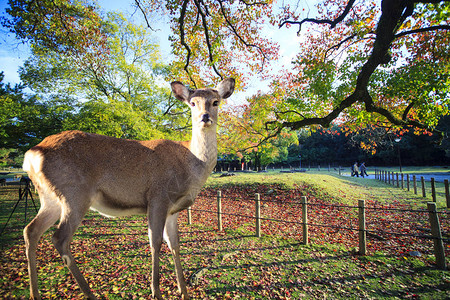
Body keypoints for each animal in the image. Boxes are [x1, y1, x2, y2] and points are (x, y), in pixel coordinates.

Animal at [21, 78, 236, 298]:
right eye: (192, 103)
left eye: (216, 102)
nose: (205, 117)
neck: (191, 166)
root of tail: (32, 155)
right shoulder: (157, 197)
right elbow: (155, 242)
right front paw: (156, 292)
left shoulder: (173, 209)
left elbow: (174, 244)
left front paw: (183, 291)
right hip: (75, 193)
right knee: (59, 238)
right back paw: (89, 294)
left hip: (50, 198)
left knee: (30, 230)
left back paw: (34, 293)